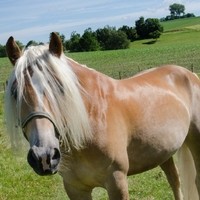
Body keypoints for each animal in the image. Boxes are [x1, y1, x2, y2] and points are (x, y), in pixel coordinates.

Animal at [4, 32, 200, 199]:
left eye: (60, 87)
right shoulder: (75, 188)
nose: (44, 156)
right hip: (163, 151)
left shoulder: (117, 182)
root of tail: (189, 73)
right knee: (174, 180)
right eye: (14, 92)